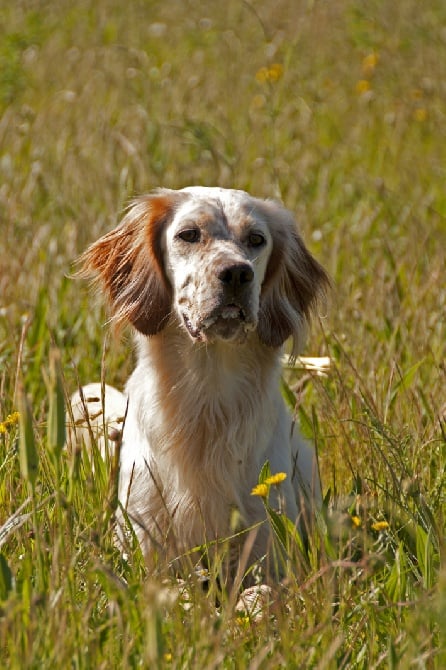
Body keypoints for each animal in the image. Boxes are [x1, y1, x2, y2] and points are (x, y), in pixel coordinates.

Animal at [69, 188, 328, 576]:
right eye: (189, 234)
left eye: (256, 239)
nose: (237, 273)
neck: (207, 403)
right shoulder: (145, 542)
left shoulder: (270, 549)